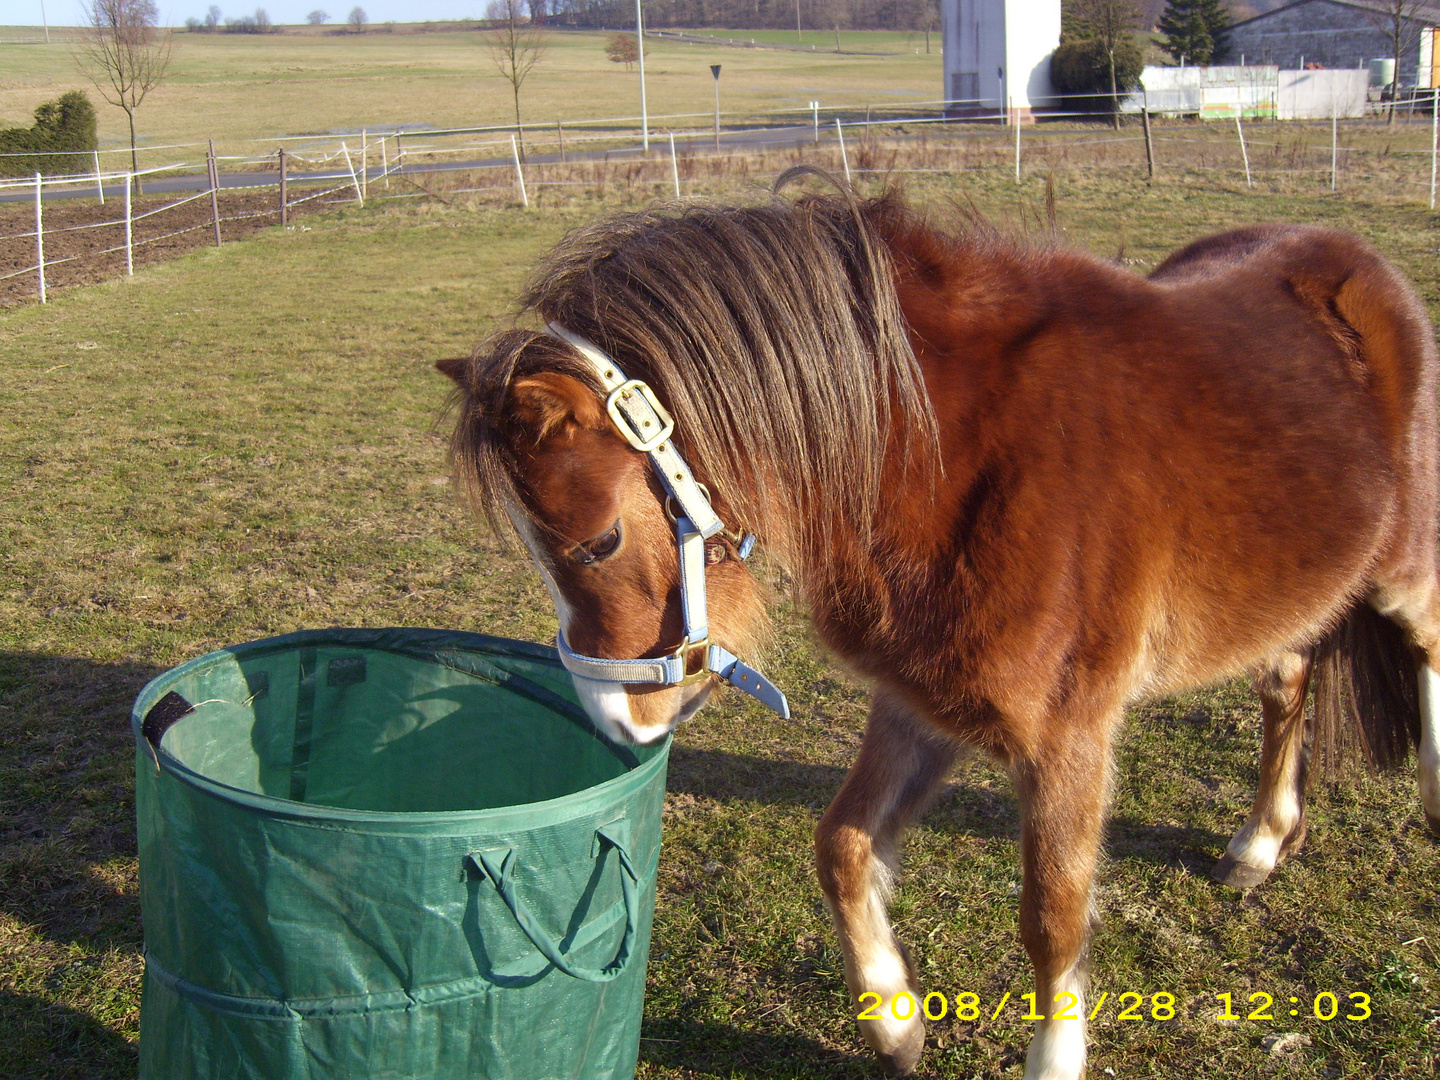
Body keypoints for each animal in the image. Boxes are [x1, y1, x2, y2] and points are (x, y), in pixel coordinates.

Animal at [437, 175, 1440, 1080]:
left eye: (599, 540)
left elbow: (1053, 916)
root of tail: (1358, 261)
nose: (616, 719)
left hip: (1401, 573)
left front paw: (1051, 1063)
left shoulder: (1069, 737)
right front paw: (893, 1022)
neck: (940, 455)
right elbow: (842, 846)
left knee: (1423, 649)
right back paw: (1261, 841)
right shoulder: (920, 700)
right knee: (1286, 683)